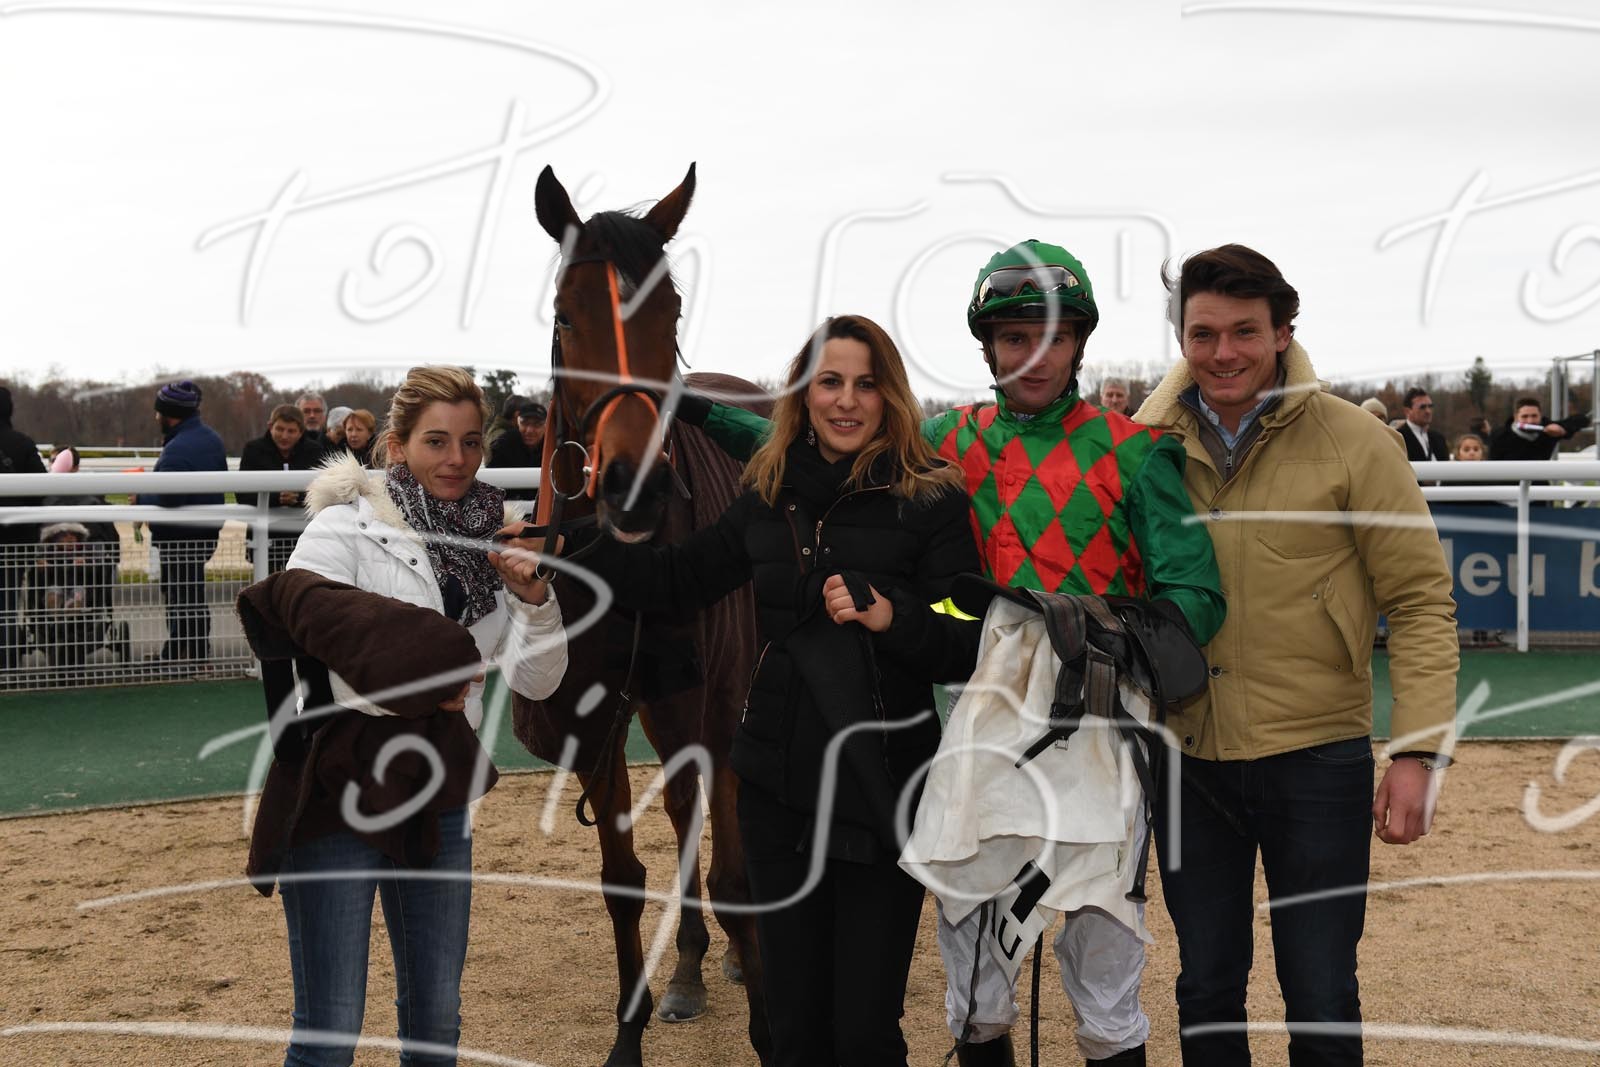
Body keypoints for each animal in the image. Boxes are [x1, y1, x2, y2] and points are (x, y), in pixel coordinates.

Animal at [511, 163, 773, 1067]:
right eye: (565, 313)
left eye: (672, 311)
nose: (635, 485)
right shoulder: (596, 714)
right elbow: (623, 877)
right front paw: (630, 1028)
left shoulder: (710, 701)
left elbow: (732, 865)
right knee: (691, 810)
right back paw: (693, 964)